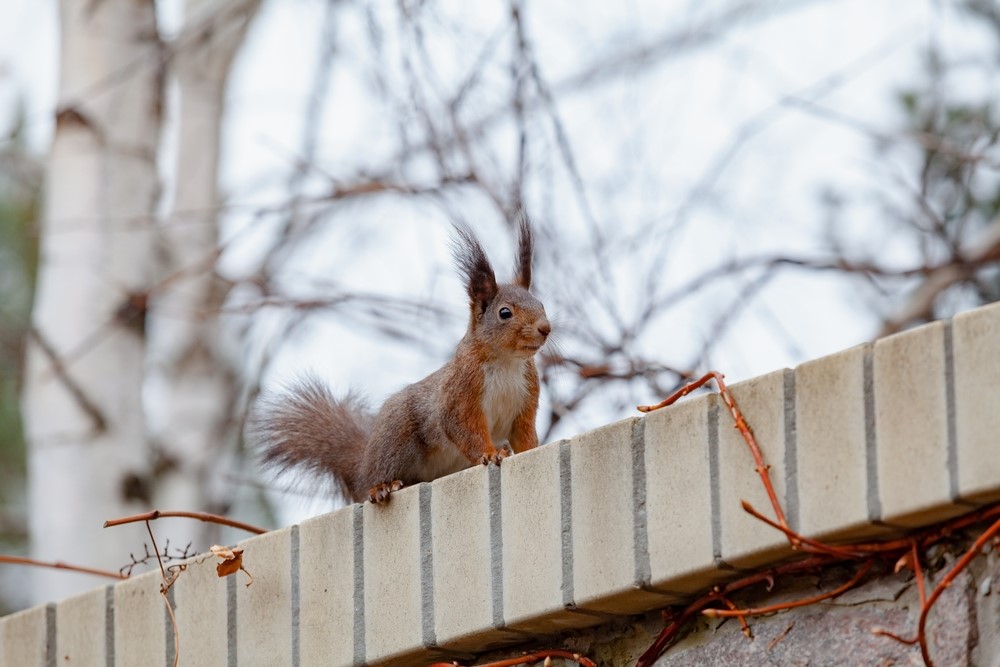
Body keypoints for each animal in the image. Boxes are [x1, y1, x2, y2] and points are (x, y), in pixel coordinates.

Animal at [250, 217, 551, 504]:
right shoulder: (460, 391)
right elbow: (462, 427)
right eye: (504, 313)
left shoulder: (525, 399)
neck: (507, 362)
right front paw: (489, 454)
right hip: (396, 437)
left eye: (541, 304)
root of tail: (363, 464)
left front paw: (528, 449)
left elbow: (524, 433)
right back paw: (381, 487)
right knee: (377, 476)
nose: (545, 328)